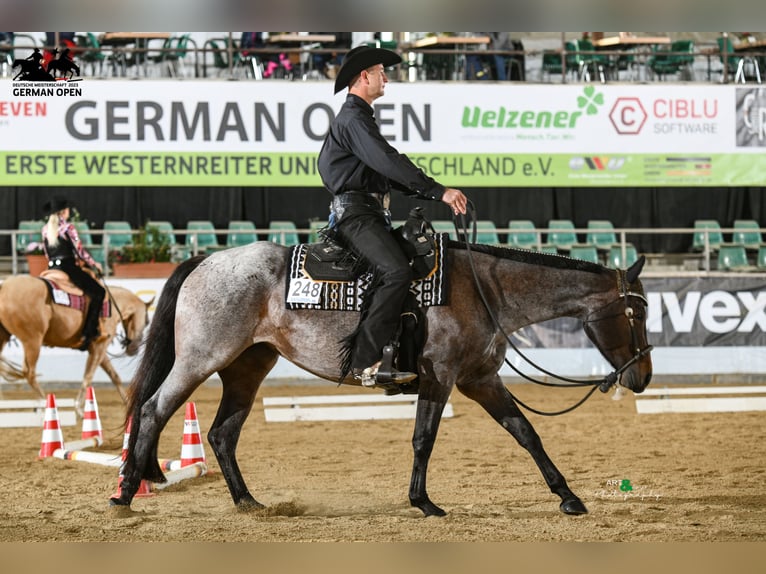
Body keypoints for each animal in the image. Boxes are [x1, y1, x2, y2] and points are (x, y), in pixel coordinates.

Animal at [0, 274, 152, 415]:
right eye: (147, 322)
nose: (133, 349)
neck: (112, 307)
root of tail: (4, 287)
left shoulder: (98, 349)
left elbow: (114, 376)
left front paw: (129, 404)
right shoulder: (99, 346)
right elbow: (88, 376)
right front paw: (79, 408)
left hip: (5, 337)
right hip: (32, 341)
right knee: (29, 372)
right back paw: (45, 404)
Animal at [110, 240, 652, 517]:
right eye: (637, 314)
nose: (643, 376)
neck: (483, 289)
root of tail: (206, 259)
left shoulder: (480, 380)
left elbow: (526, 432)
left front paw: (569, 497)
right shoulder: (441, 378)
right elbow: (424, 439)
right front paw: (423, 502)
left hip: (248, 366)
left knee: (223, 432)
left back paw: (248, 501)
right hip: (199, 359)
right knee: (154, 409)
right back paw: (125, 494)